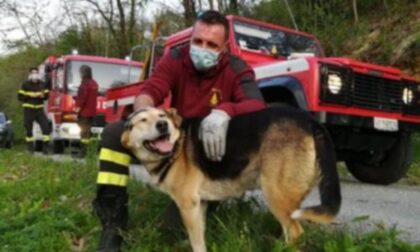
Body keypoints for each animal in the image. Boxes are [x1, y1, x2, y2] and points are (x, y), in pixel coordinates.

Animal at [120, 106, 342, 252]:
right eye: (142, 120)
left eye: (162, 116)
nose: (163, 125)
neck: (176, 145)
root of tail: (312, 122)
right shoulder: (200, 205)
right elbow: (201, 236)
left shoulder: (188, 204)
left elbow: (196, 241)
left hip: (276, 196)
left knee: (296, 233)